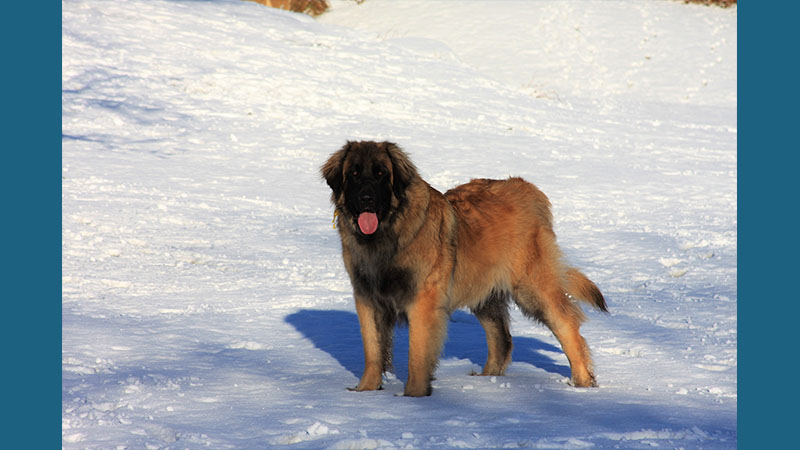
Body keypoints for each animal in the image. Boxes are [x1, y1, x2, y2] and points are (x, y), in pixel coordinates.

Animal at [318, 141, 608, 398]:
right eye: (354, 174)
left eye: (380, 174)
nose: (366, 199)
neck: (387, 235)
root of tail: (526, 188)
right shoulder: (367, 299)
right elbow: (373, 349)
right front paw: (365, 392)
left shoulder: (422, 303)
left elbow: (417, 353)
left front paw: (414, 397)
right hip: (486, 294)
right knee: (501, 338)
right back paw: (486, 380)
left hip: (533, 288)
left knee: (566, 324)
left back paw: (583, 384)